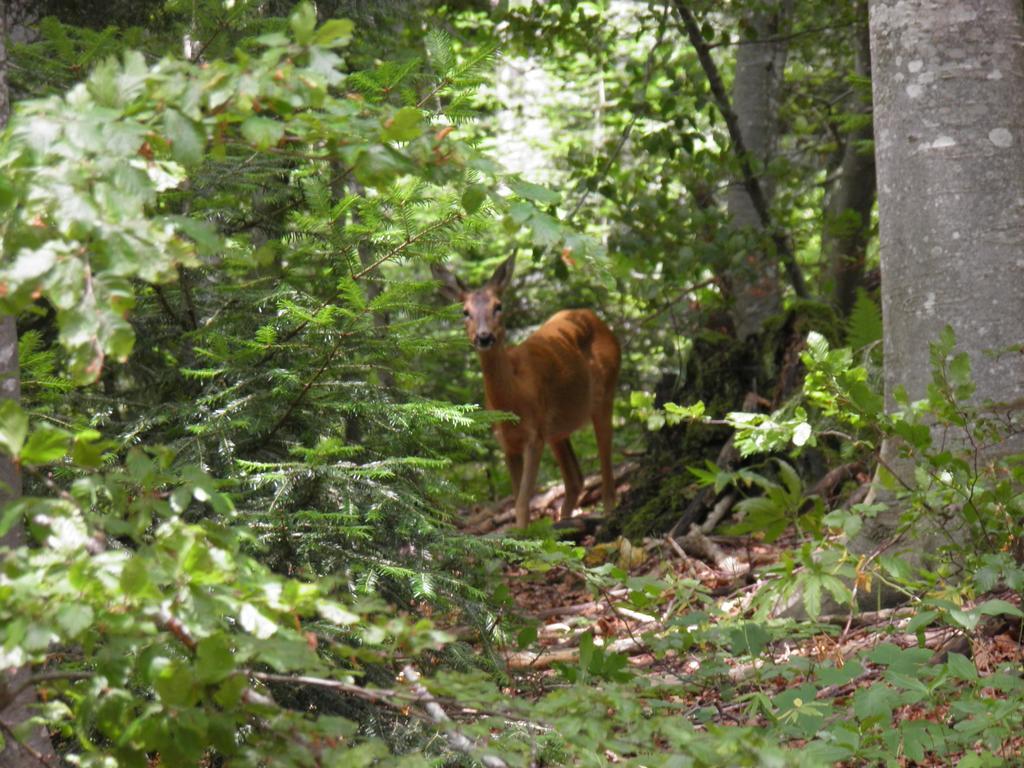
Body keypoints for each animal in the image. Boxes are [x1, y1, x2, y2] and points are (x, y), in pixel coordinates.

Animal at [434, 256, 618, 532]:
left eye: (498, 306)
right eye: (464, 312)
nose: (484, 337)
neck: (513, 398)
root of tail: (597, 319)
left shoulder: (534, 436)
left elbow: (522, 502)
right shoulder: (507, 443)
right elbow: (516, 498)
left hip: (605, 394)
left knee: (606, 467)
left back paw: (607, 516)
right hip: (556, 427)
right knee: (575, 478)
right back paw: (567, 522)